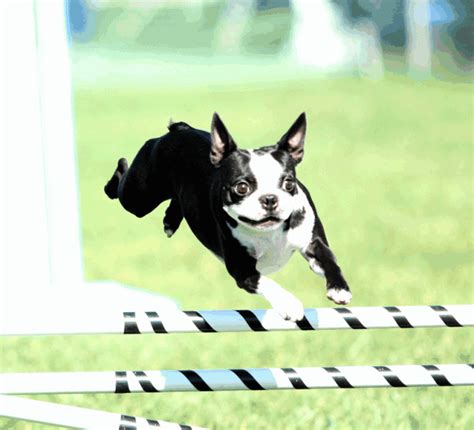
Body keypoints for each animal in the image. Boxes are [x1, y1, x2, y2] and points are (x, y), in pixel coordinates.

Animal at [105, 112, 350, 320]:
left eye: (289, 183)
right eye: (241, 187)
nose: (270, 199)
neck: (270, 231)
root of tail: (181, 129)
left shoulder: (312, 244)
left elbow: (329, 259)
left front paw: (339, 288)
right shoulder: (242, 270)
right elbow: (267, 282)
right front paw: (288, 303)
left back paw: (170, 221)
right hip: (138, 195)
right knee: (122, 178)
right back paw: (115, 181)